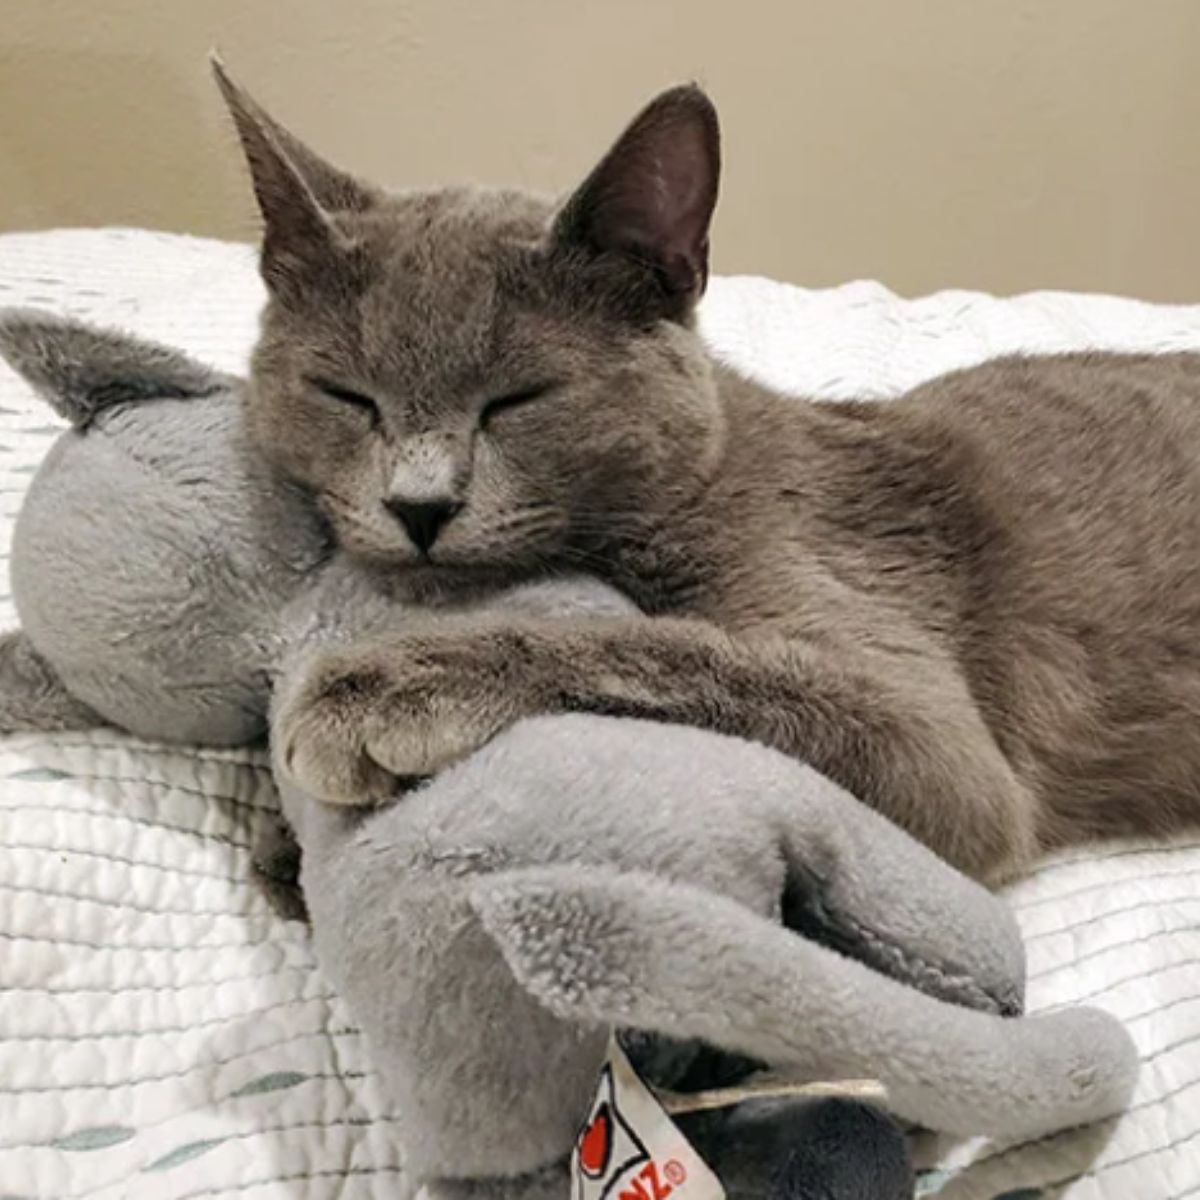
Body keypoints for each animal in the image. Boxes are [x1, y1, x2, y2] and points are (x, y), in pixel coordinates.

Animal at [216, 60, 1200, 883]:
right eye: (346, 394)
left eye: (519, 398)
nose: (419, 505)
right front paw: (282, 844)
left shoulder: (934, 736)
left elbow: (667, 652)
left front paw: (377, 690)